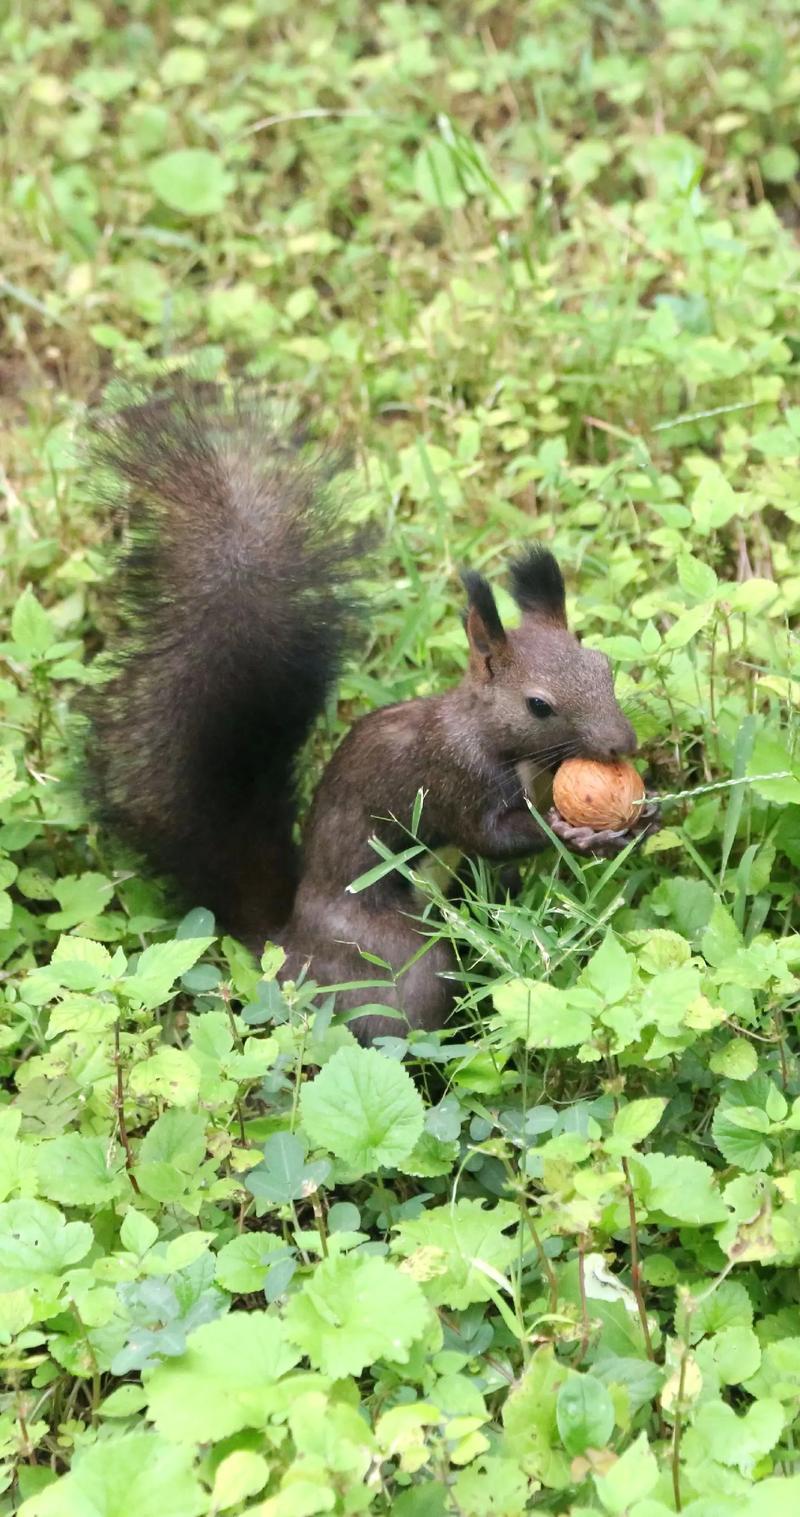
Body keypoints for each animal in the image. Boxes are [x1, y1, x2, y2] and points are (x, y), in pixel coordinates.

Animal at [84, 382, 655, 1043]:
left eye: (603, 666)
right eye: (538, 705)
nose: (622, 743)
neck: (511, 748)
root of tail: (289, 949)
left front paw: (647, 814)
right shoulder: (451, 776)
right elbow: (489, 836)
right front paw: (572, 832)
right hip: (393, 958)